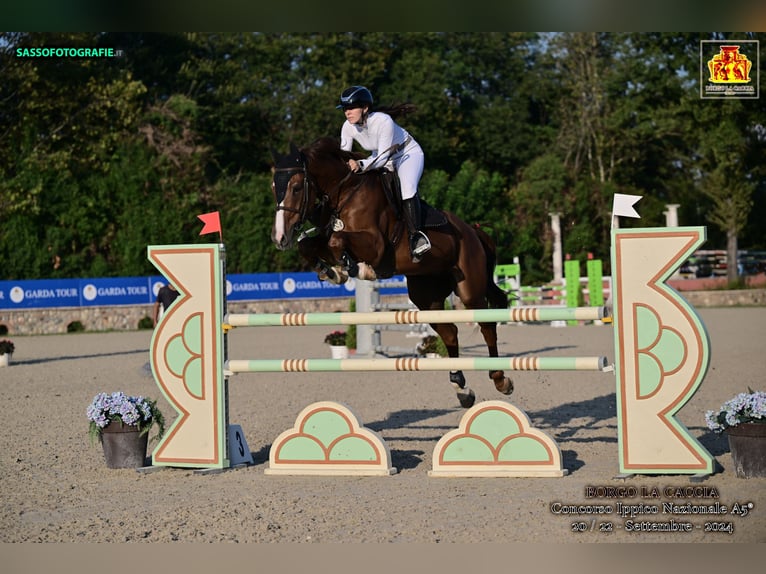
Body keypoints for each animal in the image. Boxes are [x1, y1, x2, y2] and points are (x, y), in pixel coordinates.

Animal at [272, 138, 512, 410]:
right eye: (274, 186)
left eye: (296, 187)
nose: (280, 237)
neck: (344, 193)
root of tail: (473, 230)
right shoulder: (326, 238)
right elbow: (310, 245)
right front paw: (331, 271)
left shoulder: (375, 245)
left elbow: (337, 240)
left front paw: (357, 268)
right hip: (426, 296)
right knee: (450, 332)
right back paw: (461, 387)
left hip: (470, 289)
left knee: (487, 324)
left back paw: (500, 378)